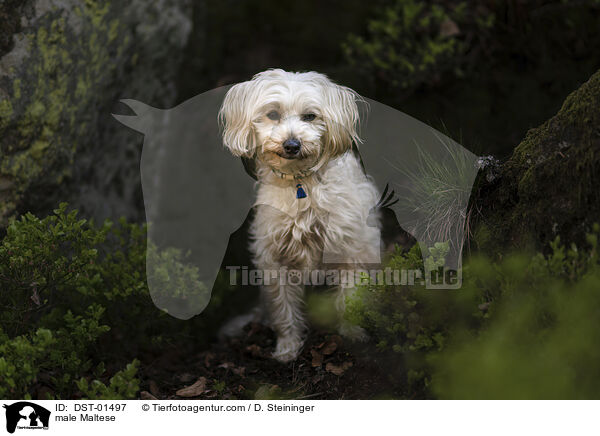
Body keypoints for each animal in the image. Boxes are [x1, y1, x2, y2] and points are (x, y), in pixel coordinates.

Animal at [219, 69, 380, 362]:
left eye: (310, 116)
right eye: (273, 114)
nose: (292, 144)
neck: (300, 183)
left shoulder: (350, 249)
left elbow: (349, 298)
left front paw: (352, 333)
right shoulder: (275, 257)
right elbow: (283, 308)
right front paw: (287, 347)